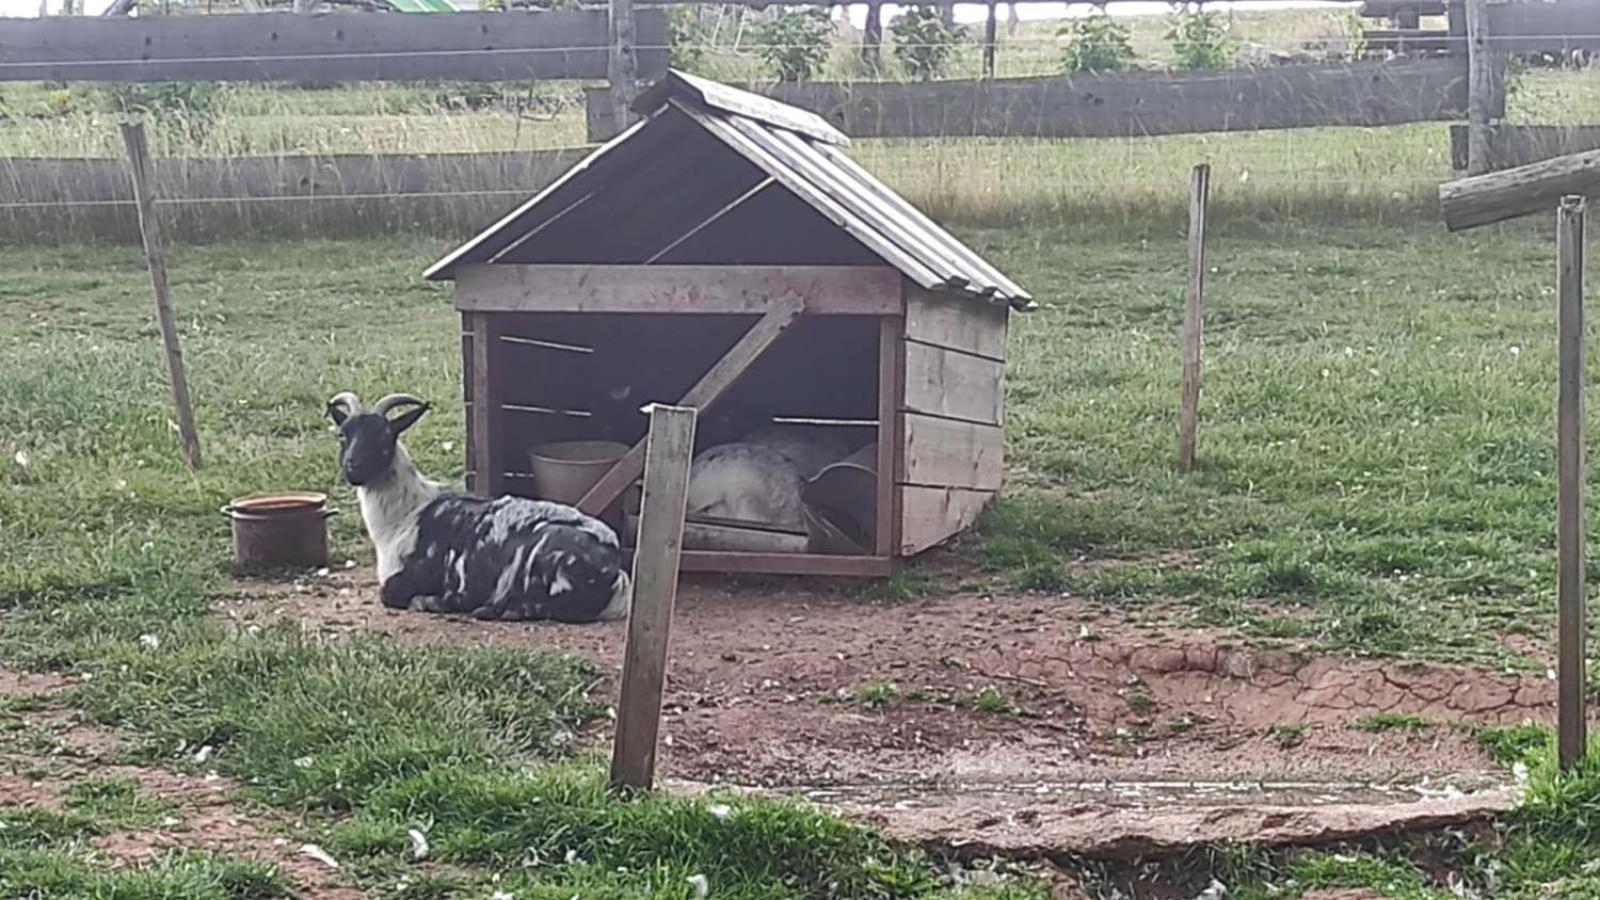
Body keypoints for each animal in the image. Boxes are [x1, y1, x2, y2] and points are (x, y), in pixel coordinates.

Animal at [324, 389, 630, 621]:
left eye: (385, 436)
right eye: (342, 434)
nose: (353, 467)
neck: (406, 514)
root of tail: (616, 571)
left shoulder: (409, 577)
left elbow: (388, 594)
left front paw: (432, 600)